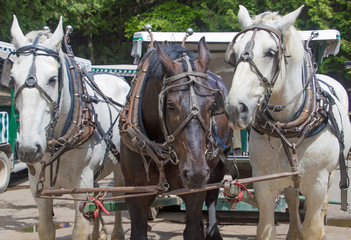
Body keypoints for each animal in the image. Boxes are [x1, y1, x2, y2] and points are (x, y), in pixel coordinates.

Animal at [2, 15, 131, 239]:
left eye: (53, 79)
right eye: (12, 79)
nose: (28, 148)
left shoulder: (82, 183)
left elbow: (79, 230)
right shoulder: (37, 187)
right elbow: (46, 229)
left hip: (121, 165)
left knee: (120, 197)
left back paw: (116, 233)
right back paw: (99, 232)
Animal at [121, 36, 234, 239]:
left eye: (212, 105)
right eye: (171, 106)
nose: (196, 173)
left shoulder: (195, 192)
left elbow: (191, 230)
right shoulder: (135, 192)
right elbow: (139, 231)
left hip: (220, 161)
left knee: (212, 196)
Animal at [226, 5, 351, 240]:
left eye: (270, 52)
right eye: (235, 53)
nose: (235, 108)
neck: (290, 126)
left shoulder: (317, 182)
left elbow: (313, 229)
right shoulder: (264, 182)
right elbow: (266, 228)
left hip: (330, 173)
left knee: (323, 205)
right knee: (292, 197)